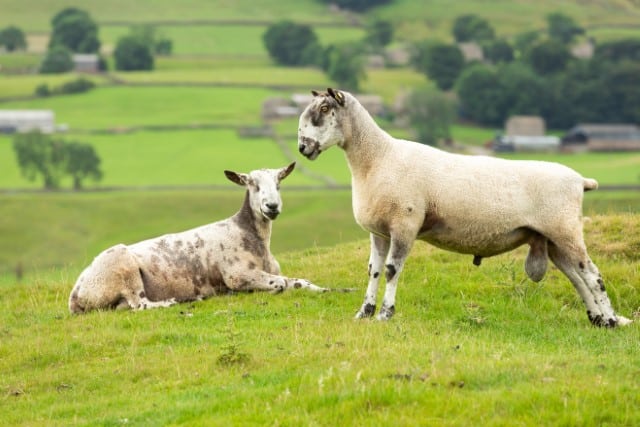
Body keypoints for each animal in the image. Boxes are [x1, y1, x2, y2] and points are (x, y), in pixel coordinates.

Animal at [70, 162, 330, 312]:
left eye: (279, 184)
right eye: (252, 185)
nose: (272, 206)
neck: (252, 236)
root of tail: (76, 293)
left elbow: (298, 281)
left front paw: (322, 289)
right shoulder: (237, 274)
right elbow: (280, 284)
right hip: (122, 268)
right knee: (140, 305)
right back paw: (178, 302)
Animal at [298, 87, 632, 328]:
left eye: (325, 109)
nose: (302, 147)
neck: (377, 158)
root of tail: (579, 180)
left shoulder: (404, 224)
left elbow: (392, 270)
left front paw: (385, 314)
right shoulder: (379, 232)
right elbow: (374, 271)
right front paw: (364, 313)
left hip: (566, 229)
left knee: (592, 274)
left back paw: (610, 320)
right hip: (552, 239)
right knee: (577, 277)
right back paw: (599, 319)